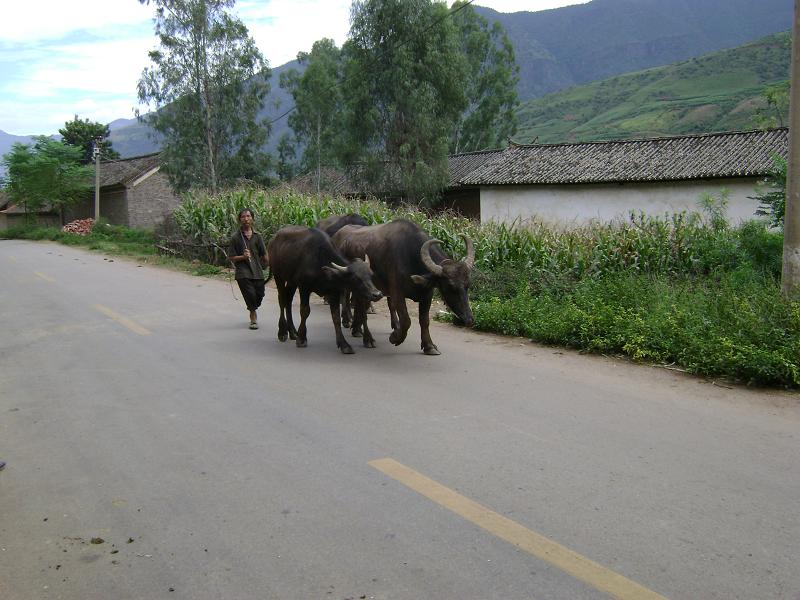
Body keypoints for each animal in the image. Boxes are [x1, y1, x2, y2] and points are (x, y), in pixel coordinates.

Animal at [332, 218, 476, 354]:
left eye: (467, 285)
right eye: (450, 287)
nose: (469, 319)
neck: (410, 256)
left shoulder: (427, 295)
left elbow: (424, 320)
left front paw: (429, 346)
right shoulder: (397, 293)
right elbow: (406, 320)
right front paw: (395, 337)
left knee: (360, 306)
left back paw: (357, 329)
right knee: (353, 304)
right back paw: (366, 337)